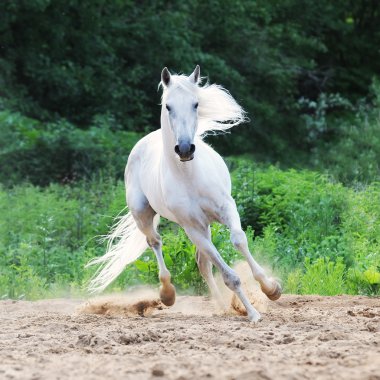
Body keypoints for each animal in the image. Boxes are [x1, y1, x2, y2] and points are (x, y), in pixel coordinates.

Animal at [87, 67, 280, 322]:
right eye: (168, 106)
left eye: (196, 103)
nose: (185, 149)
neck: (188, 176)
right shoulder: (192, 228)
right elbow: (229, 276)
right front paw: (253, 314)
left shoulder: (227, 209)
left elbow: (238, 240)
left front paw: (271, 289)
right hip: (143, 215)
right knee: (156, 242)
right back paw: (168, 293)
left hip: (206, 224)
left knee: (202, 263)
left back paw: (222, 306)